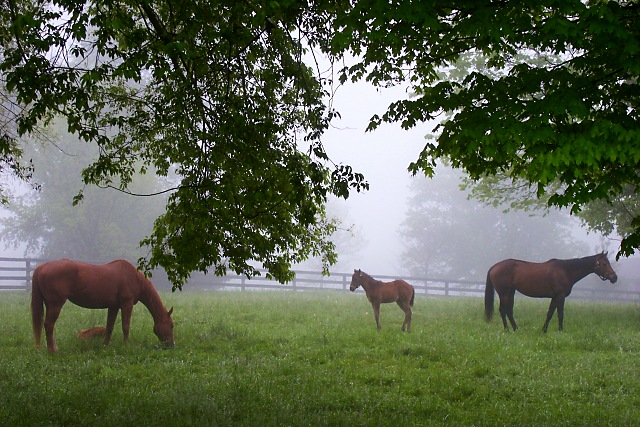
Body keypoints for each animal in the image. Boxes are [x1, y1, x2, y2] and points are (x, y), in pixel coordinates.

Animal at [31, 260, 174, 352]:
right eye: (172, 325)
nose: (172, 345)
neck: (133, 277)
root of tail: (42, 267)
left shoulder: (114, 306)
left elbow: (109, 327)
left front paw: (105, 345)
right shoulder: (126, 304)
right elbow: (125, 326)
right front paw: (126, 345)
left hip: (49, 304)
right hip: (56, 305)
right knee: (49, 325)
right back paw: (52, 350)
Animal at [488, 254, 616, 334]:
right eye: (604, 264)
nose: (614, 277)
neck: (566, 270)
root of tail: (494, 267)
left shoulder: (555, 297)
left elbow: (549, 314)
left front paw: (544, 330)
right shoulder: (560, 296)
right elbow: (560, 314)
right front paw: (560, 331)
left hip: (511, 292)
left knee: (509, 311)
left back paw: (516, 329)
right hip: (504, 293)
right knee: (503, 310)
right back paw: (507, 330)